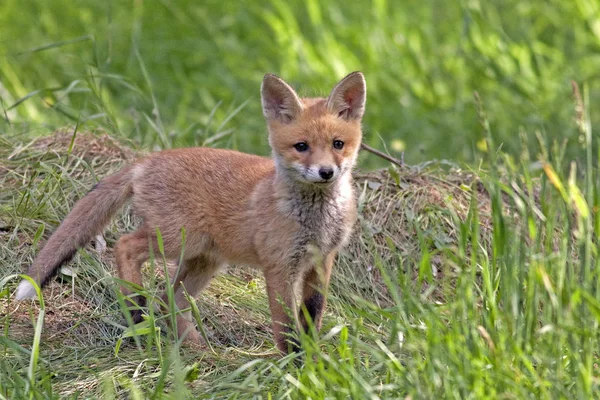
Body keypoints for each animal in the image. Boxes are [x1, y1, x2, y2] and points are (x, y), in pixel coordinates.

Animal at [15, 71, 366, 354]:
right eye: (301, 147)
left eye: (337, 144)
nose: (326, 172)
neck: (315, 220)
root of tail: (145, 161)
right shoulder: (279, 266)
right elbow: (285, 325)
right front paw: (292, 364)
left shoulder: (322, 261)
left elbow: (312, 315)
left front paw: (314, 358)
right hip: (177, 239)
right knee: (126, 247)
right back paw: (135, 306)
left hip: (204, 261)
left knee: (169, 301)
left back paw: (198, 348)